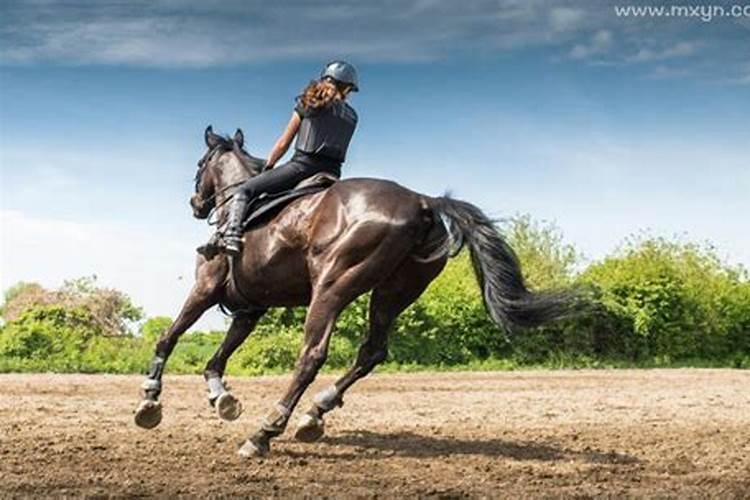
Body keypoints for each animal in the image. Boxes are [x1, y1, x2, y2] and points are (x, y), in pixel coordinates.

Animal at [134, 125, 580, 457]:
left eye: (200, 164)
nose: (196, 204)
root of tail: (422, 202)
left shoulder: (205, 289)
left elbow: (168, 337)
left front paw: (150, 402)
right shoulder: (250, 308)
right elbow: (218, 358)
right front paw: (221, 398)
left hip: (332, 287)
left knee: (312, 355)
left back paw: (265, 433)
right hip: (394, 293)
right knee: (372, 352)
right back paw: (314, 414)